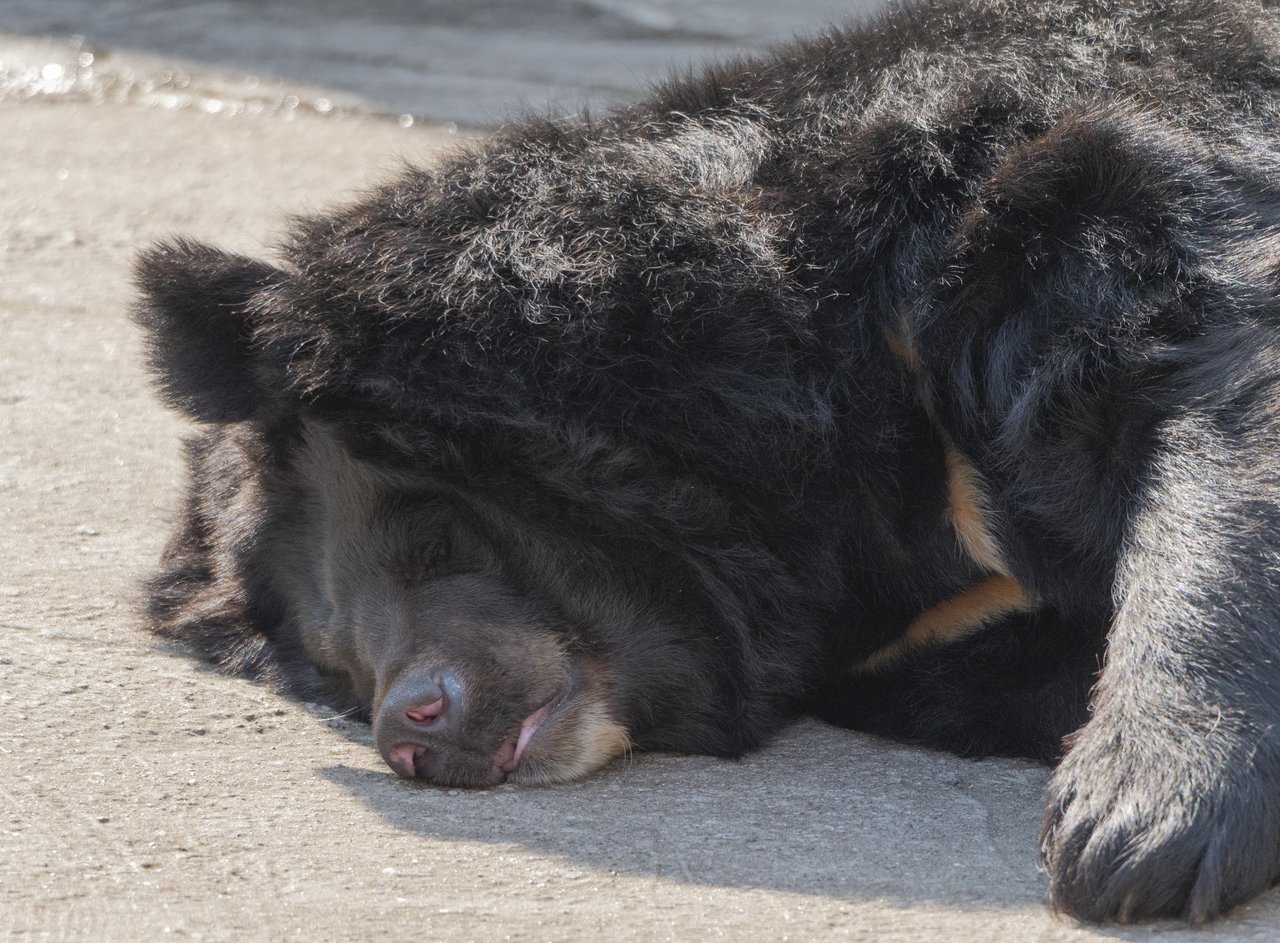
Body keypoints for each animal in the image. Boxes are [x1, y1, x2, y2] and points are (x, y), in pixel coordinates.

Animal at [132, 0, 1280, 926]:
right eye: (336, 665)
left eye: (433, 534)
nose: (412, 726)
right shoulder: (924, 631)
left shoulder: (1096, 179)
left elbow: (1226, 379)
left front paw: (1136, 828)